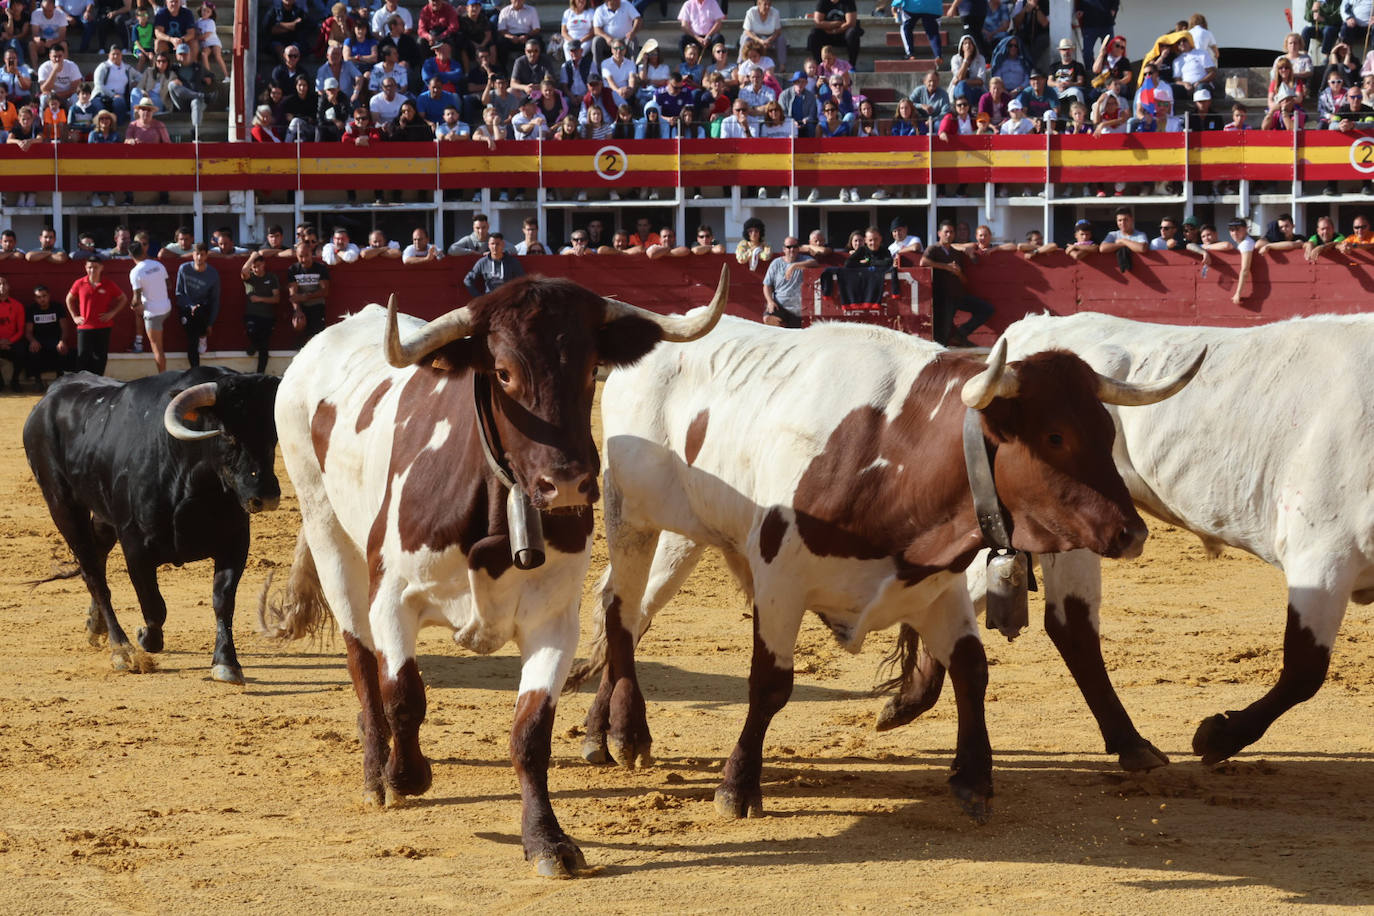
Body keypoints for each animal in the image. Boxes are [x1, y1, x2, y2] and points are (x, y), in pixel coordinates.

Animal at [23, 365, 281, 681]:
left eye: (273, 435)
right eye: (228, 434)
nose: (266, 496)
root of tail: (51, 393)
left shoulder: (235, 542)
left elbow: (223, 599)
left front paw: (226, 663)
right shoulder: (136, 548)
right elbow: (155, 607)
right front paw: (143, 637)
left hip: (102, 515)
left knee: (96, 558)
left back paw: (95, 626)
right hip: (62, 506)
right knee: (94, 575)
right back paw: (121, 650)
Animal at [259, 269, 730, 878]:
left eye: (589, 369)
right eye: (503, 372)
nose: (568, 483)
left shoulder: (554, 621)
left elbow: (531, 732)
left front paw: (547, 840)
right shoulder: (394, 596)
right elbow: (403, 694)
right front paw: (404, 774)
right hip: (325, 526)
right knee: (360, 653)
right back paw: (374, 770)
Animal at [574, 318, 1198, 818]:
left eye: (1108, 432)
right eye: (1055, 436)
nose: (1132, 533)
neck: (896, 454)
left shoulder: (937, 586)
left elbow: (971, 668)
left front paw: (972, 775)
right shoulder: (779, 581)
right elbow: (770, 684)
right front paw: (738, 785)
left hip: (685, 536)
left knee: (634, 612)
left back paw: (601, 730)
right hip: (631, 518)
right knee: (620, 610)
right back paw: (625, 731)